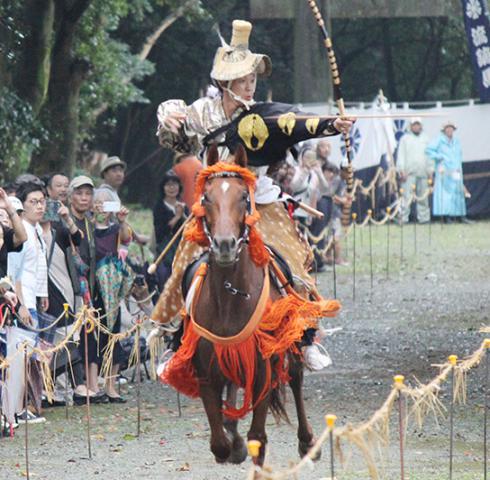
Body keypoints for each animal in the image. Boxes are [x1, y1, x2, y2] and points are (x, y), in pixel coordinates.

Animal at [164, 145, 326, 464]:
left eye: (243, 196)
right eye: (206, 197)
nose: (225, 245)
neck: (230, 297)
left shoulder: (264, 369)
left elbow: (258, 439)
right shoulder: (206, 373)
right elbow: (219, 442)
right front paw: (233, 445)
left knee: (296, 377)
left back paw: (307, 442)